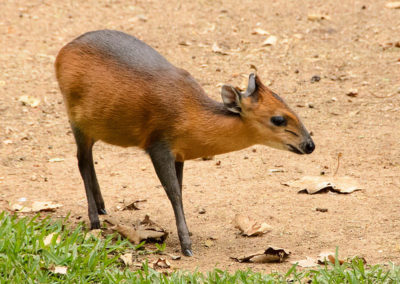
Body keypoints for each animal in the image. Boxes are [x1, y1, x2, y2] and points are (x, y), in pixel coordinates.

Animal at [54, 30, 314, 256]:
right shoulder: (158, 145)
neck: (192, 117)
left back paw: (101, 206)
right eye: (278, 119)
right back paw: (94, 220)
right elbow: (173, 194)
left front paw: (186, 235)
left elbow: (179, 190)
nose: (310, 145)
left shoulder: (180, 154)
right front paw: (186, 245)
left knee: (89, 161)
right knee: (82, 162)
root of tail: (62, 51)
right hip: (76, 120)